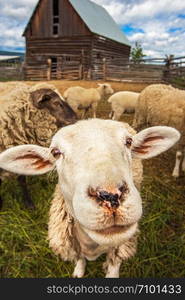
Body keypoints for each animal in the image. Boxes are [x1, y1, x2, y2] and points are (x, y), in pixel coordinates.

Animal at [0, 118, 179, 278]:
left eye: (129, 142)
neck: (93, 245)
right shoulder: (75, 246)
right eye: (55, 152)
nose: (111, 196)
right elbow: (79, 259)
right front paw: (78, 271)